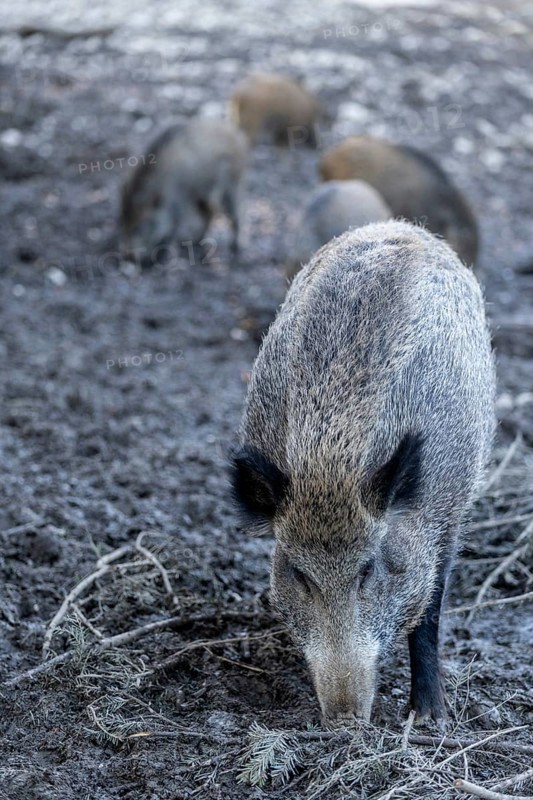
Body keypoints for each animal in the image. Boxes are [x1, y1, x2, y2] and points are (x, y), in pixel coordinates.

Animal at [120, 118, 248, 264]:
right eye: (122, 221)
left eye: (139, 227)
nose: (128, 256)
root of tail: (240, 139)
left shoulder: (177, 202)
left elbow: (171, 228)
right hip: (202, 196)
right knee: (209, 214)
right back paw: (195, 241)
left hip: (231, 186)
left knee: (234, 214)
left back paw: (235, 248)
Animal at [230, 220, 495, 723]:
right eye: (299, 574)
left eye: (368, 570)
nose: (345, 720)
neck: (332, 461)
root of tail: (401, 226)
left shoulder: (449, 512)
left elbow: (429, 612)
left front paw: (430, 717)